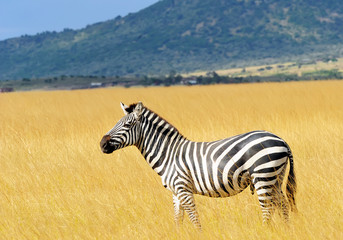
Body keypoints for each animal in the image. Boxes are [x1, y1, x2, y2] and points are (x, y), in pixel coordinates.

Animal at [101, 101, 296, 229]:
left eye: (128, 124)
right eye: (116, 123)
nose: (102, 144)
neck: (169, 154)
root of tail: (282, 140)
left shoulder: (183, 188)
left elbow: (194, 218)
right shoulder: (175, 192)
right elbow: (178, 219)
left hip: (263, 176)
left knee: (267, 209)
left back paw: (266, 230)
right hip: (275, 178)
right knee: (283, 205)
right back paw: (286, 230)